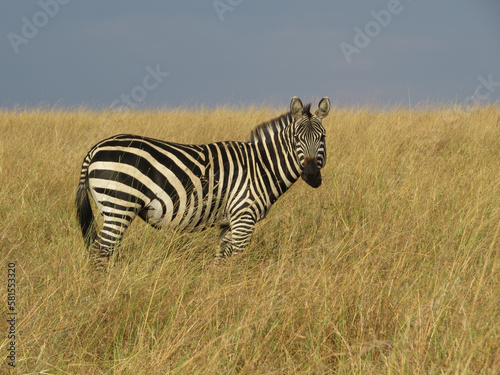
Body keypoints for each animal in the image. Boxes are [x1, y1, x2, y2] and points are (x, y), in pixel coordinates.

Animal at [76, 95, 330, 268]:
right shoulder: (244, 218)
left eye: (323, 137)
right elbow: (238, 260)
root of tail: (95, 148)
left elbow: (221, 260)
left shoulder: (228, 222)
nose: (311, 175)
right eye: (296, 138)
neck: (261, 166)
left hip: (112, 209)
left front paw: (220, 291)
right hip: (119, 205)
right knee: (100, 251)